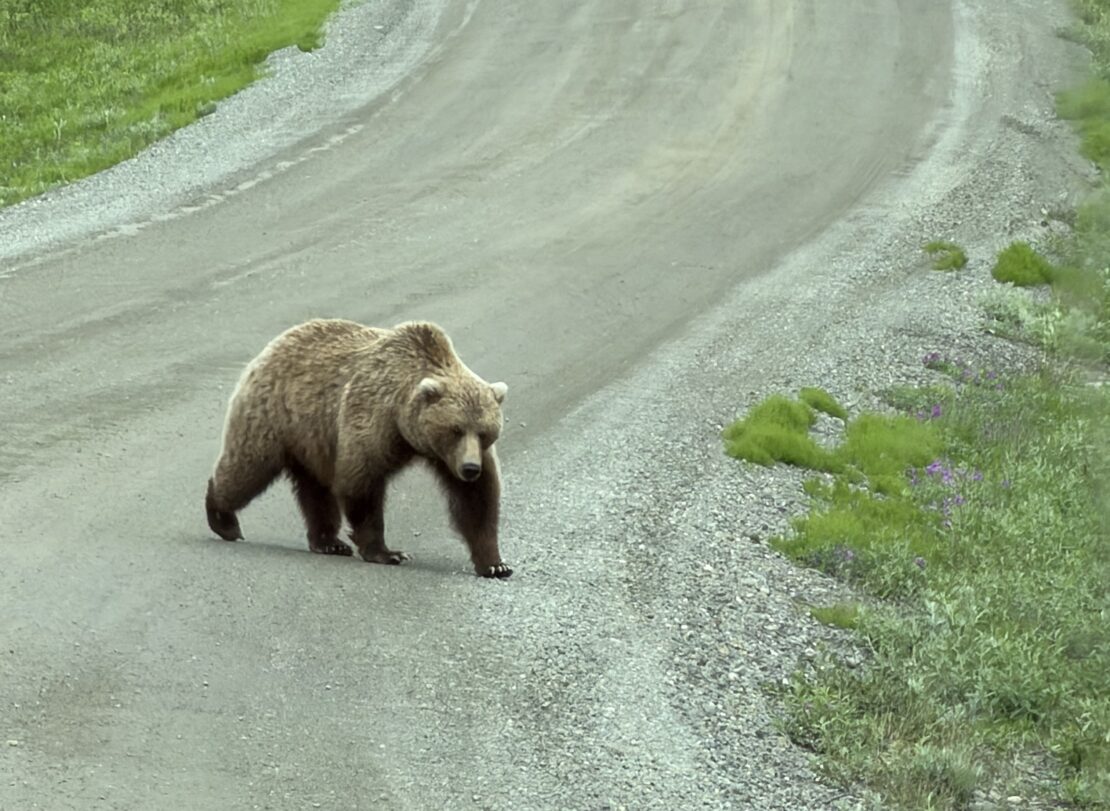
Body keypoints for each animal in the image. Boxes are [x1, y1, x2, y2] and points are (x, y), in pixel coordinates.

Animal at [204, 318, 512, 578]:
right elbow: (361, 483)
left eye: (484, 432)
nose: (470, 468)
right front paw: (388, 553)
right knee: (248, 467)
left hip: (313, 439)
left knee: (315, 489)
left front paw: (495, 564)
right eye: (455, 429)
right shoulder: (372, 419)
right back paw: (223, 518)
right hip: (274, 416)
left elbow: (477, 499)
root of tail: (273, 344)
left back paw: (328, 542)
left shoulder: (454, 456)